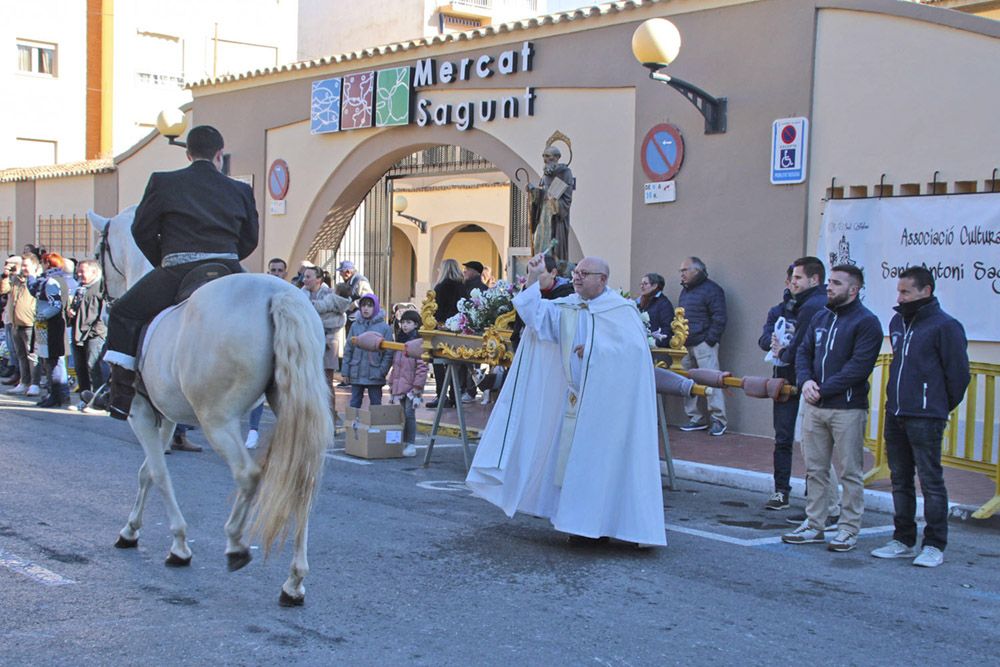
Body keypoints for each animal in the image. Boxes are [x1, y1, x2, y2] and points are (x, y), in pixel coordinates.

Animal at [88, 207, 330, 604]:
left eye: (97, 253)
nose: (99, 298)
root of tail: (279, 294)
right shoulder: (166, 416)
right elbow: (147, 471)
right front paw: (131, 530)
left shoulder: (141, 412)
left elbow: (157, 473)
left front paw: (178, 545)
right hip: (293, 410)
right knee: (303, 481)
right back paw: (294, 582)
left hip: (218, 419)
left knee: (248, 475)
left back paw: (235, 544)